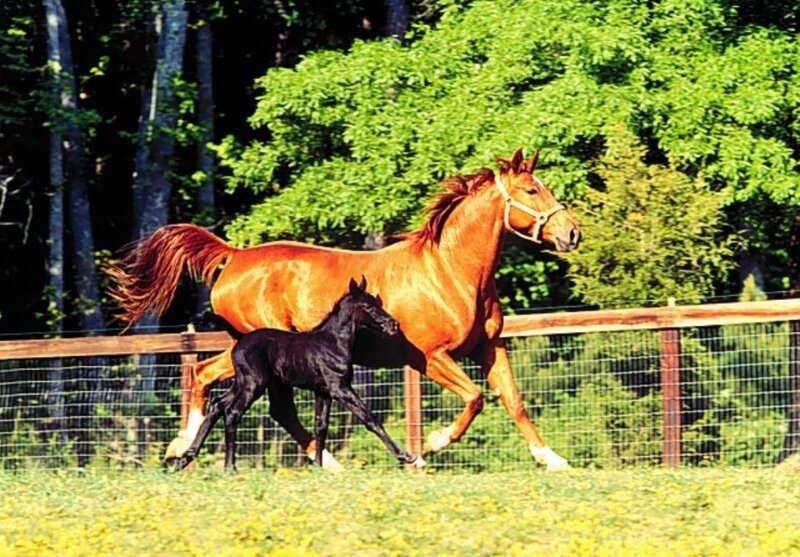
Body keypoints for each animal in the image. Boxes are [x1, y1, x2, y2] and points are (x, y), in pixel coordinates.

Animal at [174, 277, 425, 471]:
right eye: (369, 306)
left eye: (377, 302)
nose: (394, 324)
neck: (333, 342)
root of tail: (240, 339)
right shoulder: (340, 388)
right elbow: (369, 418)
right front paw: (406, 456)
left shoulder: (323, 392)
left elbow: (320, 427)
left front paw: (319, 468)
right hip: (254, 384)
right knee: (232, 412)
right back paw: (229, 467)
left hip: (243, 382)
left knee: (218, 404)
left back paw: (185, 458)